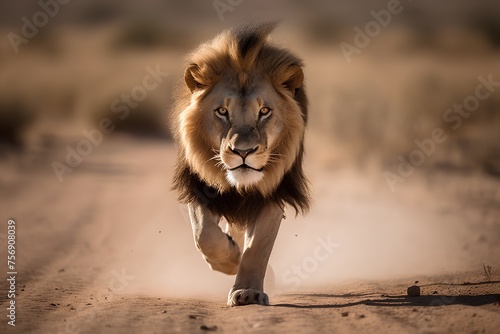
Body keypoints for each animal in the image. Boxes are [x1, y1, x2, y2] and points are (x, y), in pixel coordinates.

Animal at [174, 22, 310, 306]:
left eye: (264, 111)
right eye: (222, 112)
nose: (243, 152)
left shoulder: (274, 192)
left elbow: (257, 247)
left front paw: (247, 291)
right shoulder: (199, 186)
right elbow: (205, 235)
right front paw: (230, 259)